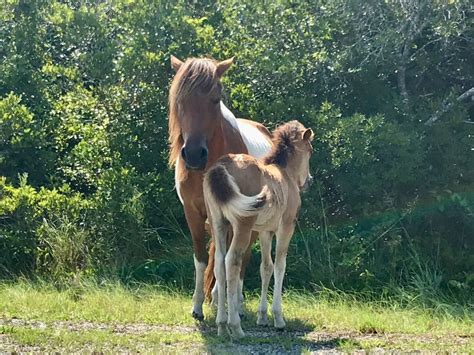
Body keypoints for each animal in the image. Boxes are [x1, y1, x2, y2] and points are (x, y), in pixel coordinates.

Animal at [168, 56, 272, 322]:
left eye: (215, 99)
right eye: (180, 101)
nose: (194, 154)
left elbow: (226, 261)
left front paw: (226, 303)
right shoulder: (193, 213)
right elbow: (202, 259)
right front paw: (197, 306)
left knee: (241, 258)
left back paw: (234, 301)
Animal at [204, 120, 314, 340]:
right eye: (310, 150)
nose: (309, 180)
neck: (285, 175)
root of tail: (221, 165)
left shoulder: (265, 232)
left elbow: (266, 267)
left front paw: (262, 317)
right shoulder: (286, 227)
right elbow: (280, 266)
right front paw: (278, 319)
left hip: (218, 223)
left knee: (219, 263)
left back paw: (221, 326)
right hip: (242, 225)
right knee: (232, 261)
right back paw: (235, 326)